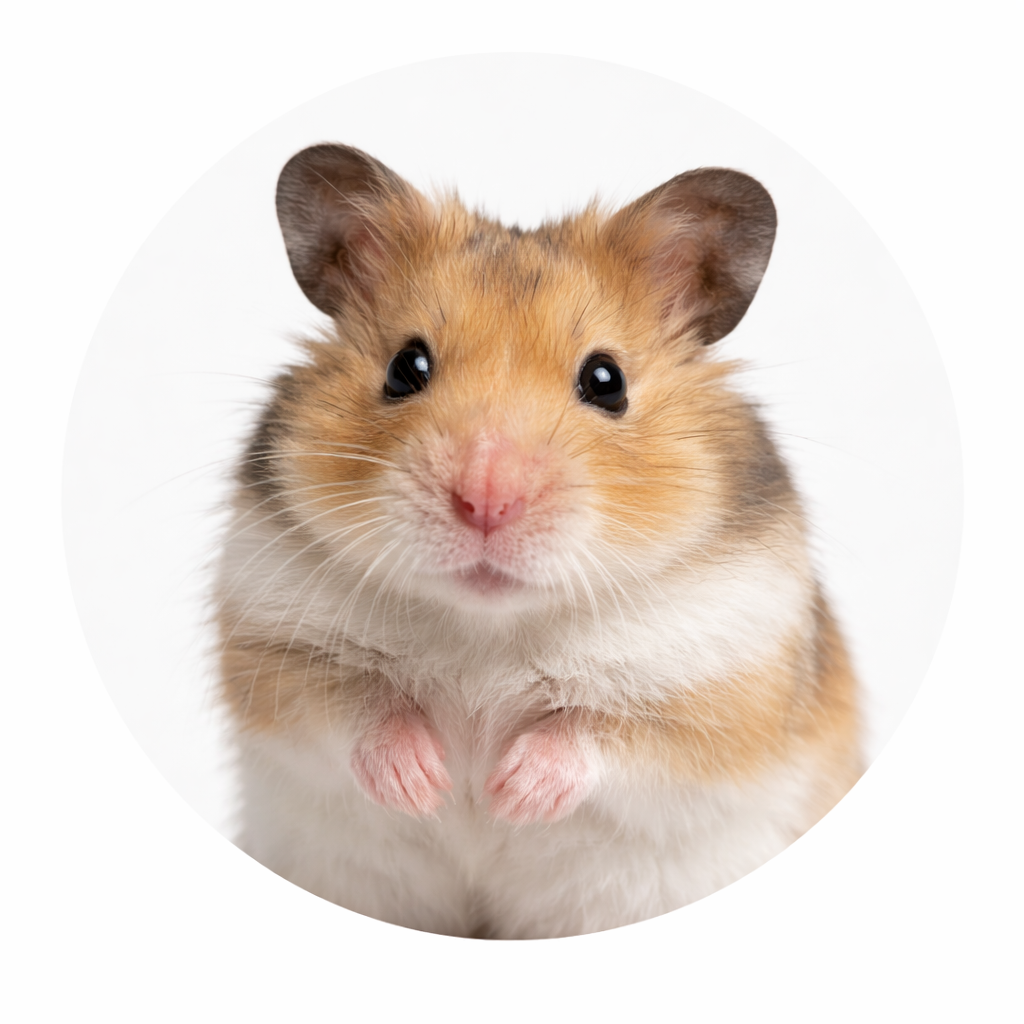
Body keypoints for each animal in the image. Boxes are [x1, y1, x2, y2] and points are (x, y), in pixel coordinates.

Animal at [214, 143, 861, 939]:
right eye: (405, 367)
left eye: (606, 380)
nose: (485, 501)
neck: (489, 626)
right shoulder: (268, 650)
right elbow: (353, 710)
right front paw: (430, 787)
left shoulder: (728, 696)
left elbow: (605, 738)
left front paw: (506, 794)